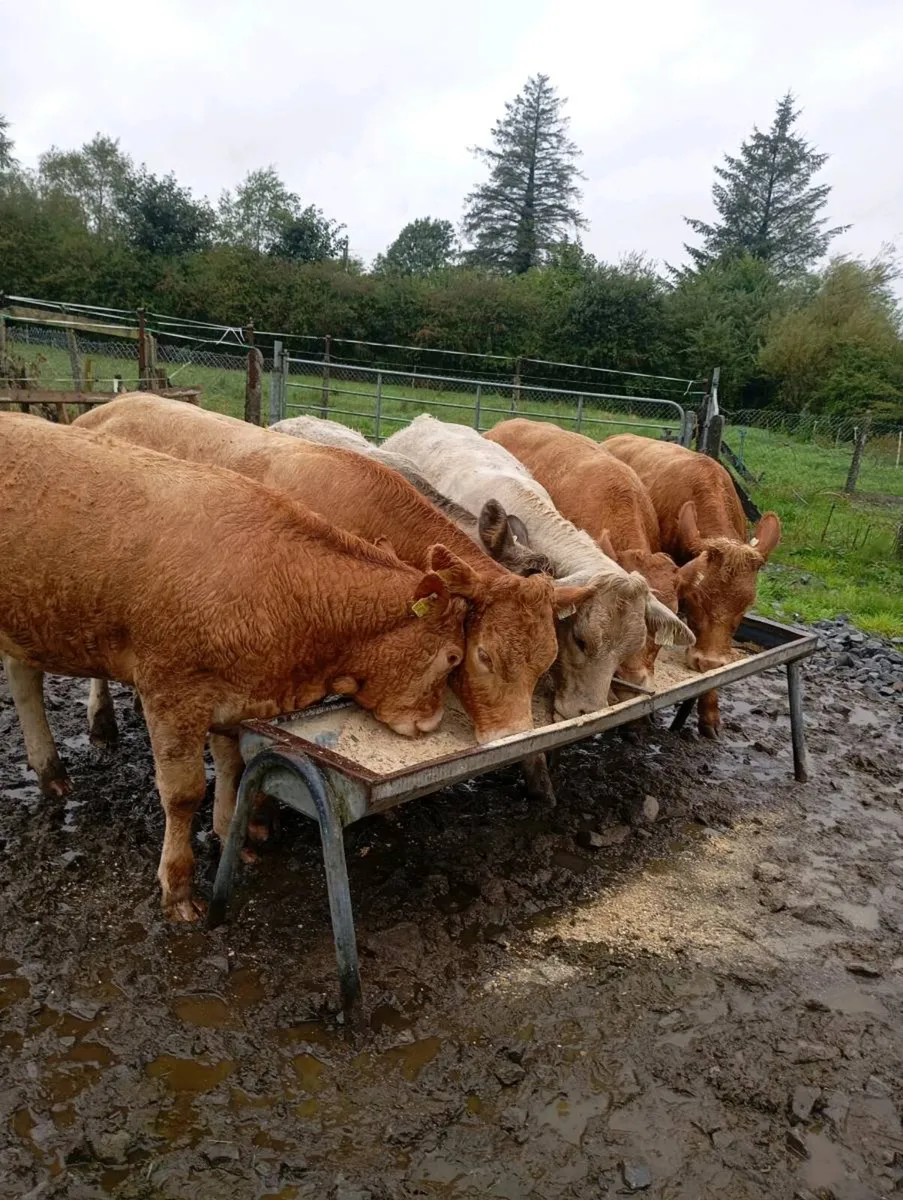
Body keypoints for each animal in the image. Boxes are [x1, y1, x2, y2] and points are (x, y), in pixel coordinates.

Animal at [0, 415, 476, 919]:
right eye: (453, 657)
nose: (432, 723)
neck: (280, 583)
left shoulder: (234, 695)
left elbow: (233, 767)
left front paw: (232, 833)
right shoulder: (172, 692)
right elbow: (184, 791)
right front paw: (178, 886)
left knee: (23, 676)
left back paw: (50, 770)